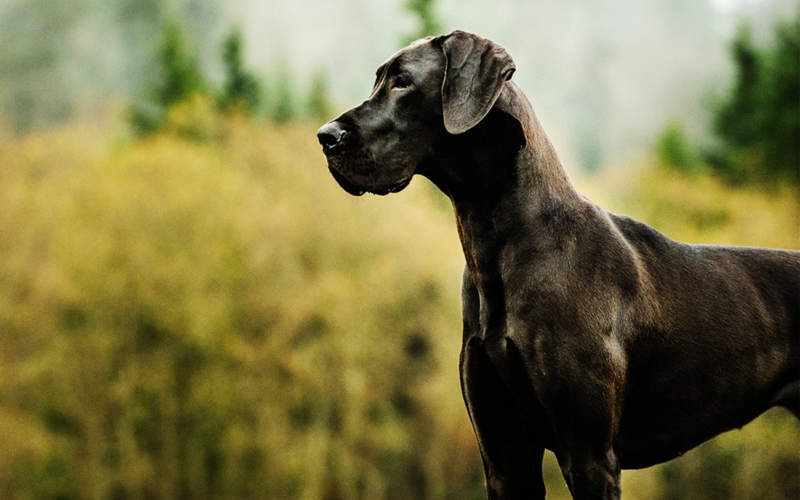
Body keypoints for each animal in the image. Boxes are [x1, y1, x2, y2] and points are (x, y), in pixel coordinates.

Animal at [316, 32, 796, 500]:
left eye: (403, 83)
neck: (499, 247)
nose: (324, 136)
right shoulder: (505, 461)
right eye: (379, 80)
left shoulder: (589, 456)